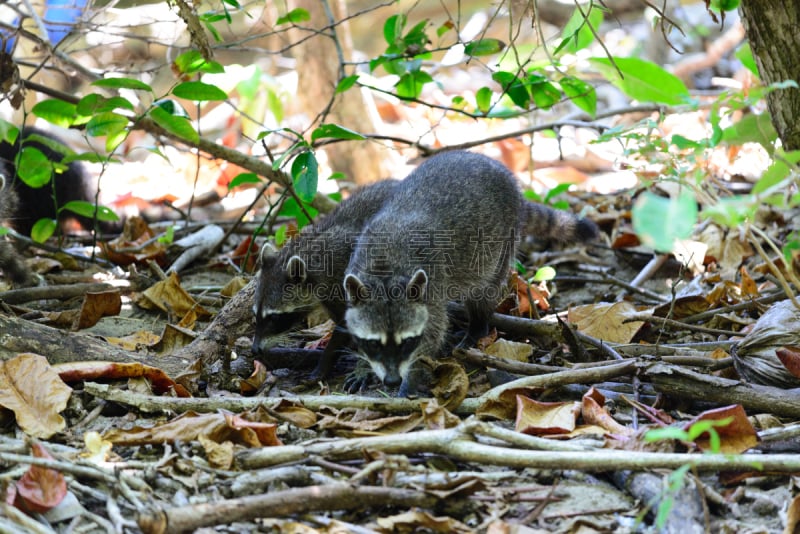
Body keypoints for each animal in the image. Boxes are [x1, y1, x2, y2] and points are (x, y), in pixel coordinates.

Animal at [252, 179, 398, 376]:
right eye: (256, 315)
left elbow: (346, 326)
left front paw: (324, 363)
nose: (255, 350)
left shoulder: (345, 281)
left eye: (274, 318)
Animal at [340, 151, 596, 398]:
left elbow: (434, 332)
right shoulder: (358, 259)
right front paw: (364, 366)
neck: (385, 274)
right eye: (374, 343)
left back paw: (477, 326)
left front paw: (412, 376)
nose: (392, 380)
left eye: (407, 341)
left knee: (483, 289)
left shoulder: (431, 285)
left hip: (503, 239)